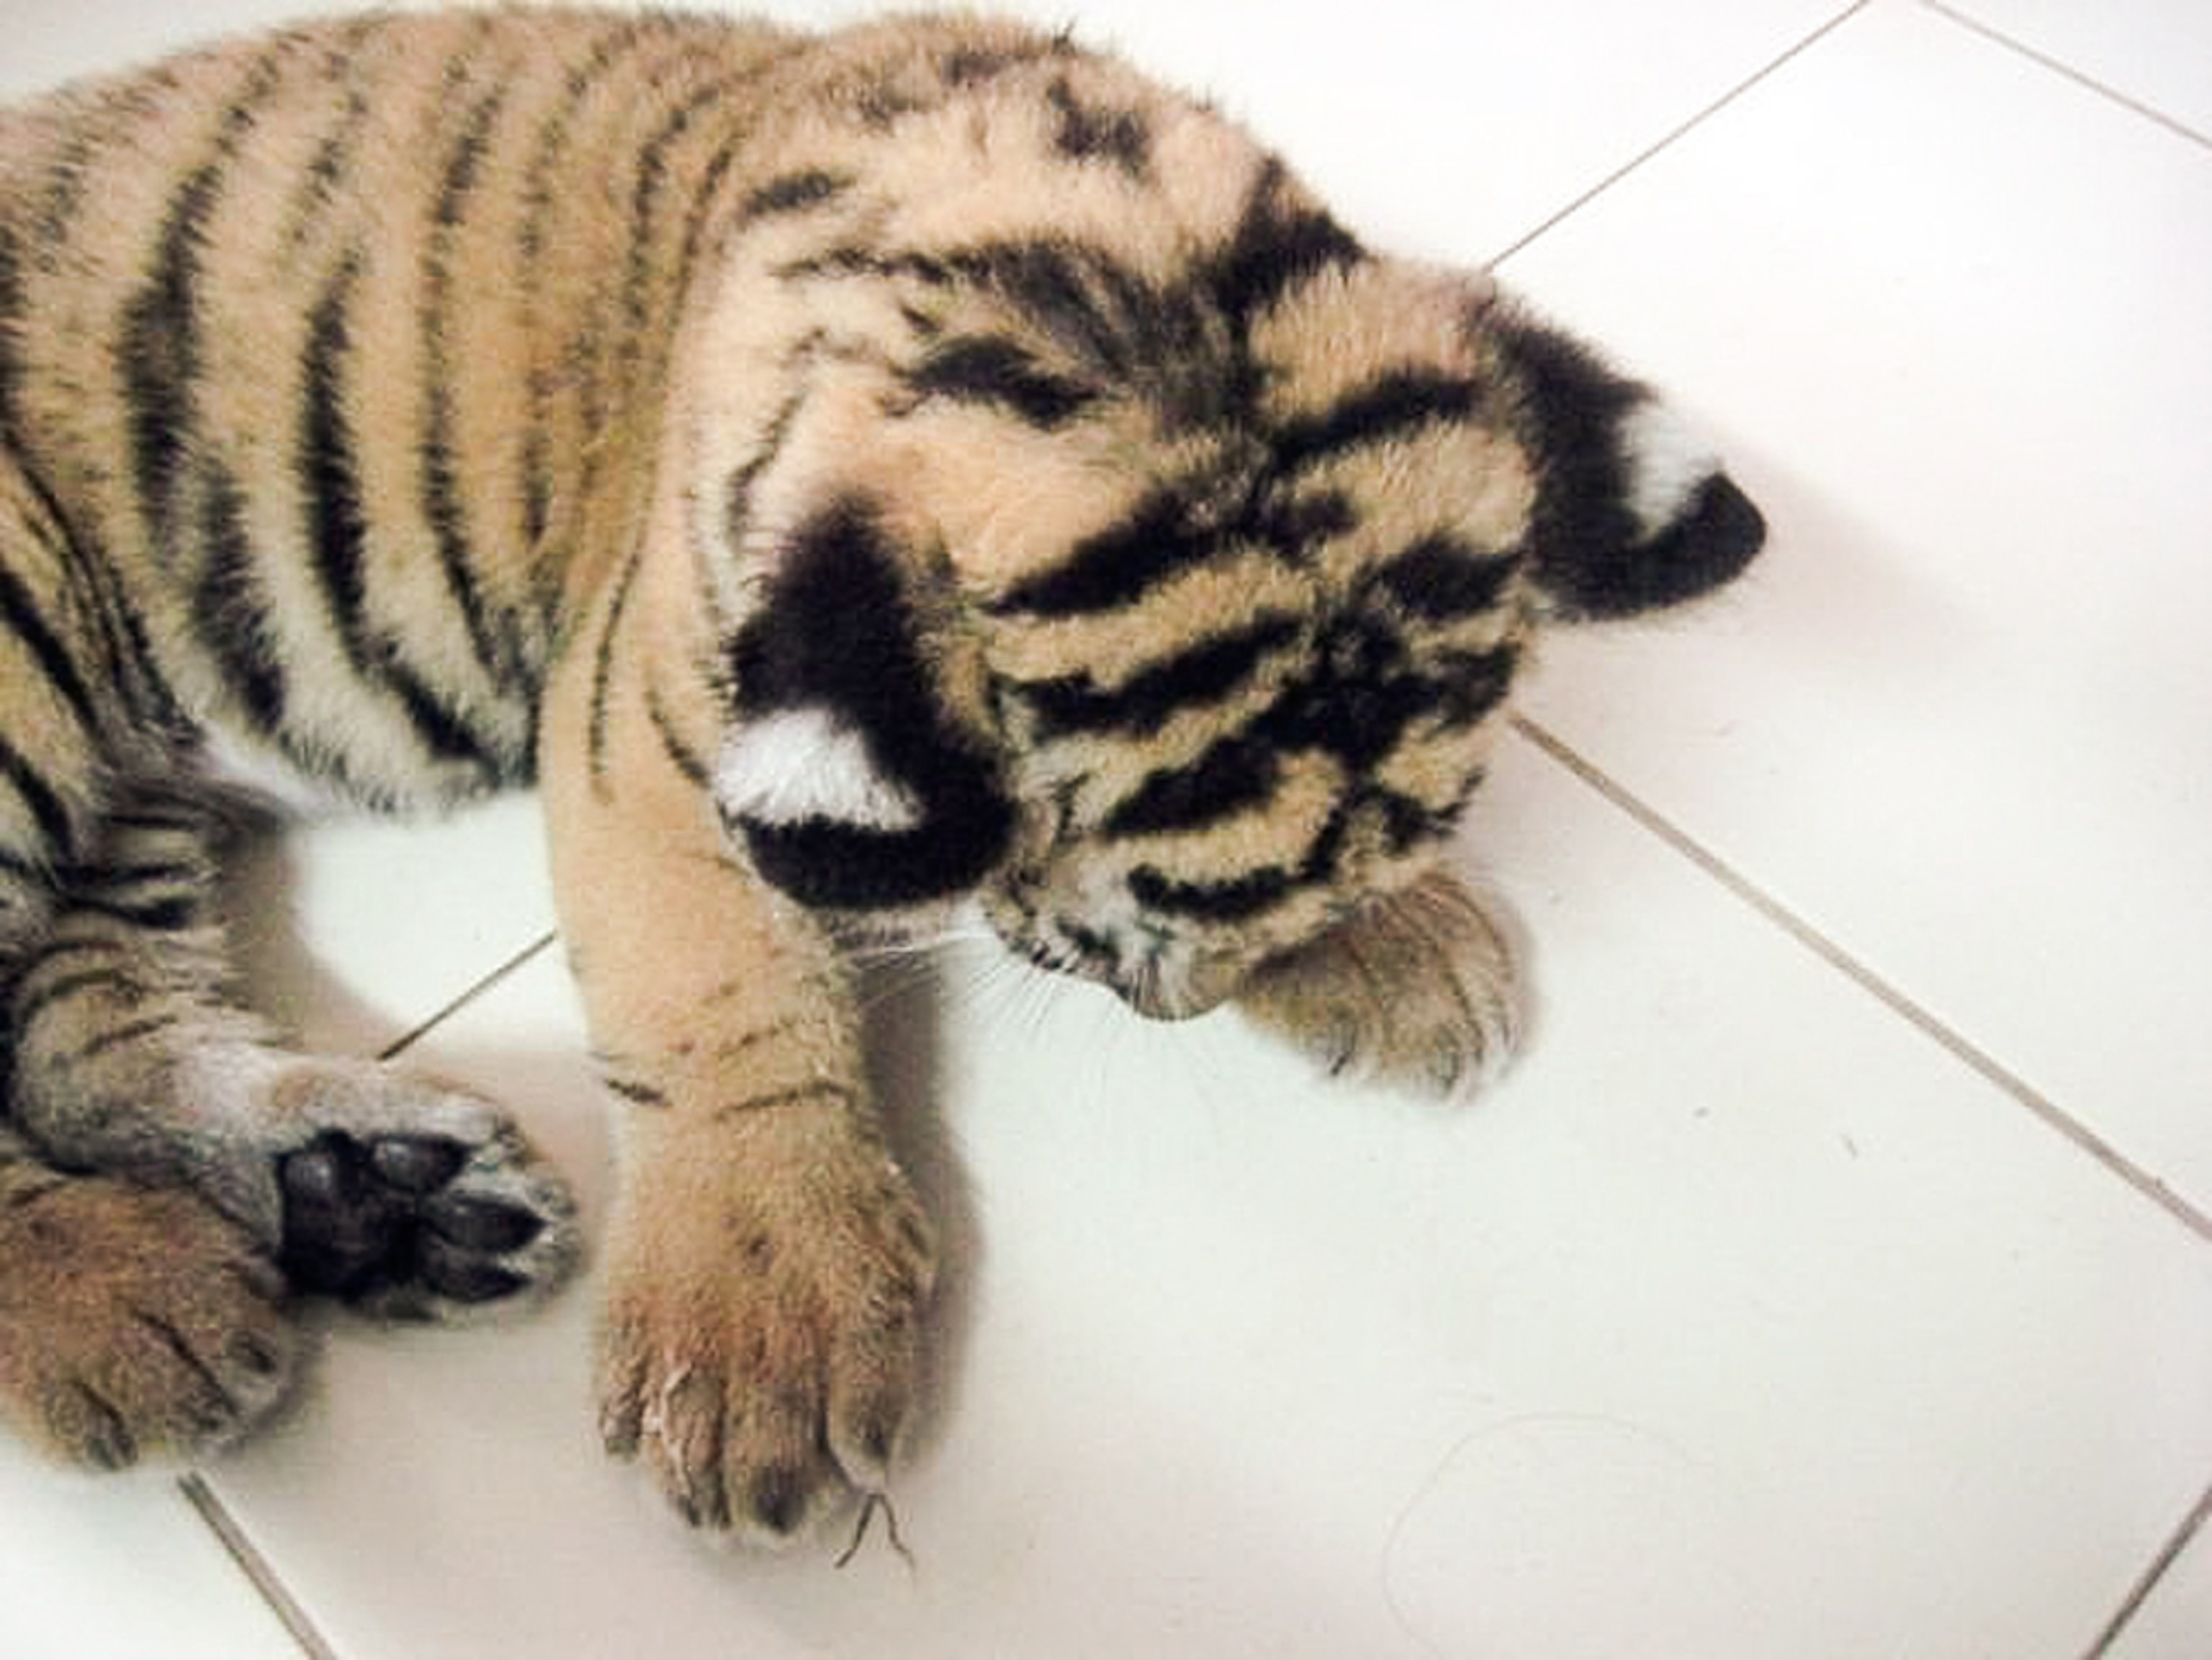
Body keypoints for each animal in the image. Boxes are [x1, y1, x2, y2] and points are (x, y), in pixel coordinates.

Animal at [0, 5, 1763, 1542]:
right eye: (1109, 957)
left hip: (122, 792)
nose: (1171, 1011)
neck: (1091, 286)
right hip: (27, 631)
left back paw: (376, 1201)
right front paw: (753, 1336)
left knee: (81, 1028)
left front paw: (1397, 945)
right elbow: (719, 990)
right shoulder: (646, 708)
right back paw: (130, 1298)